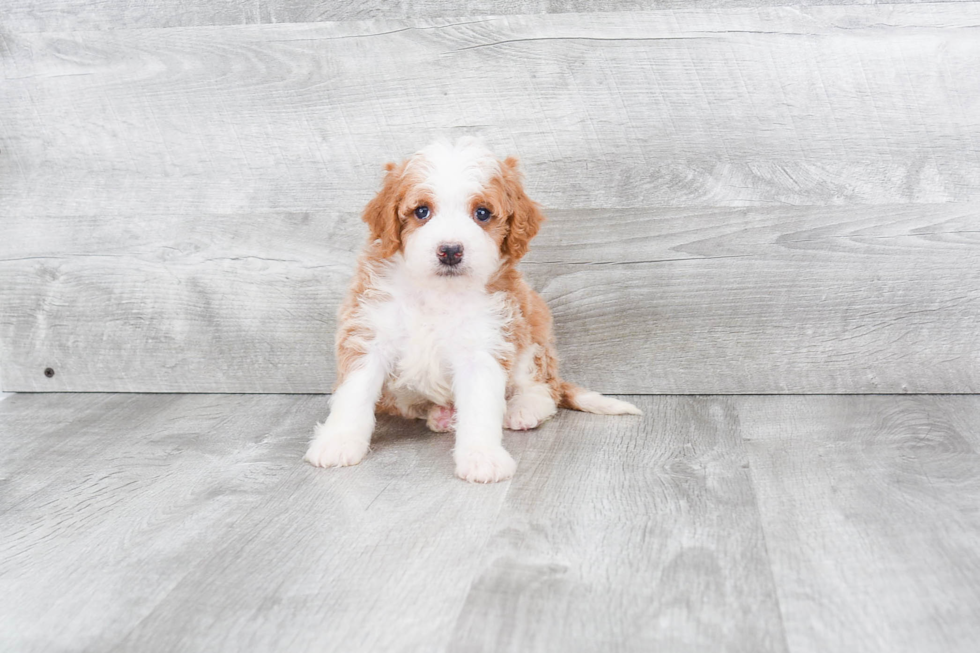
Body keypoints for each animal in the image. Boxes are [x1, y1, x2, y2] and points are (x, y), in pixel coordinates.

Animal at [306, 138, 644, 482]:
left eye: (482, 213)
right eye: (421, 211)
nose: (450, 251)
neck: (435, 292)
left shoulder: (485, 342)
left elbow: (481, 405)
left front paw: (483, 457)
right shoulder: (369, 331)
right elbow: (355, 393)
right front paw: (339, 442)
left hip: (531, 331)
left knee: (542, 388)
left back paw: (523, 409)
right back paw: (440, 415)